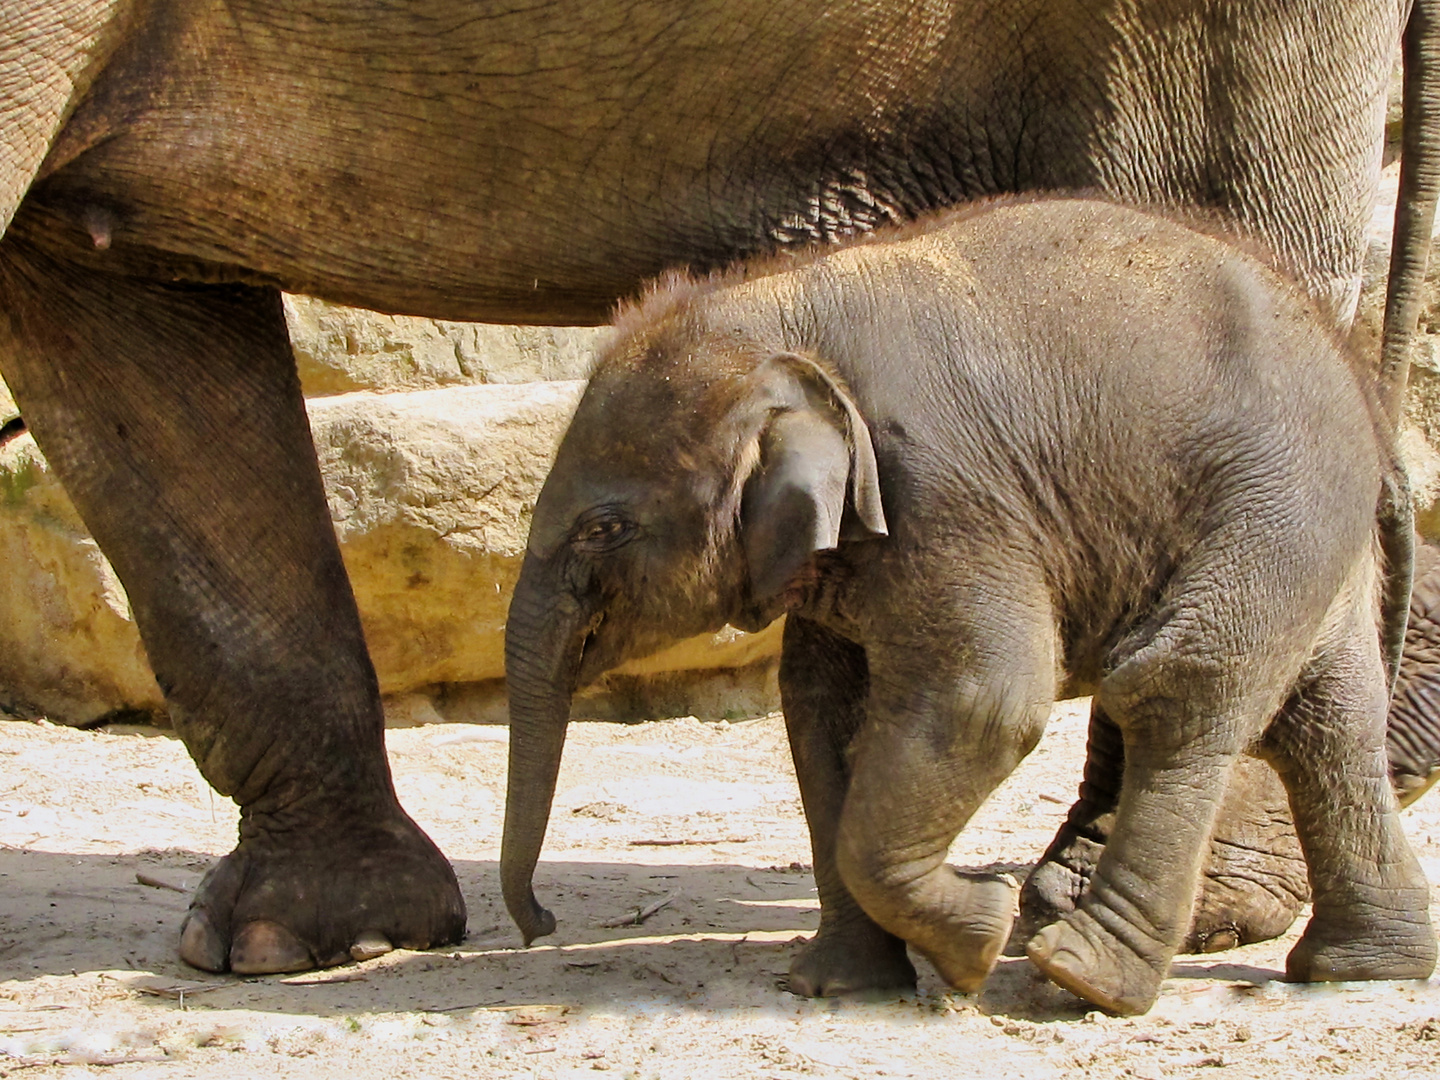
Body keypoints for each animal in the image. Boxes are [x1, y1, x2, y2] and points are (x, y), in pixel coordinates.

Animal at [501, 194, 1434, 1013]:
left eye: (603, 528)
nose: (539, 925)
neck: (778, 307)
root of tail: (1366, 396)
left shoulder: (944, 489)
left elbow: (983, 702)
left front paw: (979, 934)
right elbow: (820, 711)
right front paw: (838, 985)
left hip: (1275, 501)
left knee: (1181, 686)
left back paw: (1082, 976)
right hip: (1311, 531)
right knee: (1328, 722)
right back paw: (1359, 967)